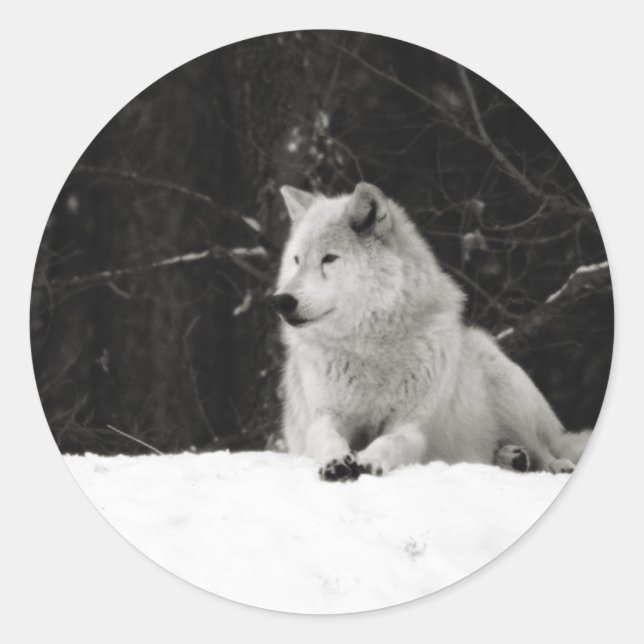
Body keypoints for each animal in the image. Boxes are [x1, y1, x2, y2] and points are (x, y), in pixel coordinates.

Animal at [271, 182, 590, 481]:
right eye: (296, 260)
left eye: (329, 258)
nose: (282, 301)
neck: (370, 351)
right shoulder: (324, 417)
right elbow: (327, 438)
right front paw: (336, 461)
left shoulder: (411, 425)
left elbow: (390, 442)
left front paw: (368, 460)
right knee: (498, 452)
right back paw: (512, 458)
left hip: (508, 393)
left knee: (542, 448)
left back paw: (553, 464)